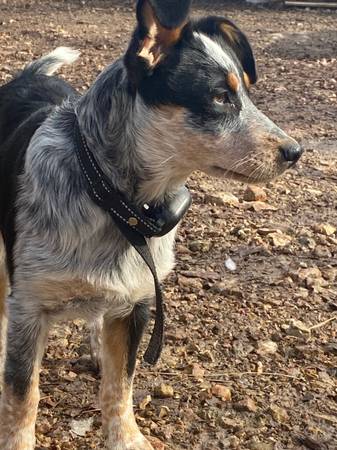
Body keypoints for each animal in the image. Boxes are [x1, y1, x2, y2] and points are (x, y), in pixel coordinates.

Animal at [0, 0, 302, 450]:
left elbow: (120, 385)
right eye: (220, 96)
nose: (295, 151)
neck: (113, 201)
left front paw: (126, 439)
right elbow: (23, 397)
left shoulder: (137, 302)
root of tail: (26, 76)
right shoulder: (29, 308)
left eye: (246, 93)